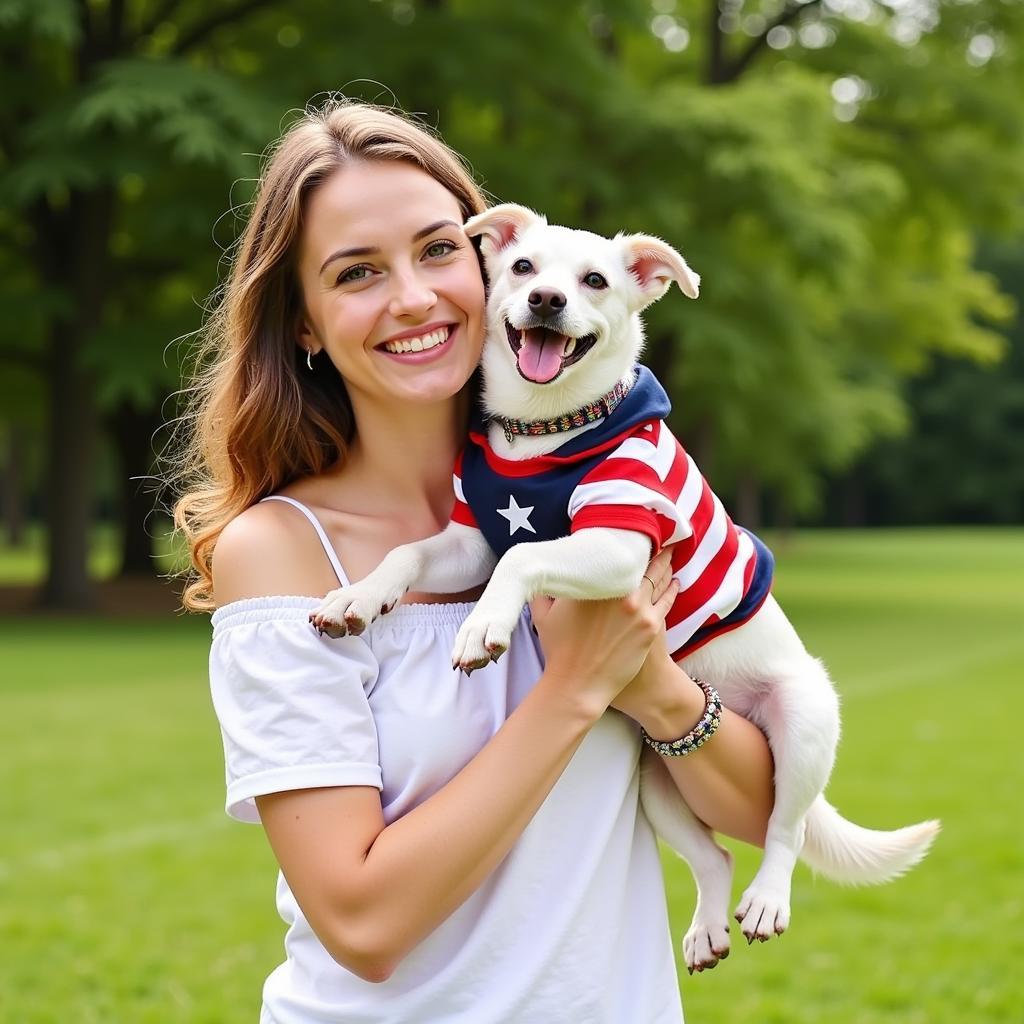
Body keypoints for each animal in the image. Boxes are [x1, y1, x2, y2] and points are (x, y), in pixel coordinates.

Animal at [307, 203, 937, 970]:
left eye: (595, 280)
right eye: (523, 267)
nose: (547, 299)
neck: (542, 430)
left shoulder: (616, 541)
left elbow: (526, 558)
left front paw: (481, 628)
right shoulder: (469, 539)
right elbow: (408, 554)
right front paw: (357, 597)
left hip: (803, 725)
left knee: (782, 829)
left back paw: (767, 900)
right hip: (659, 773)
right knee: (715, 856)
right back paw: (707, 928)